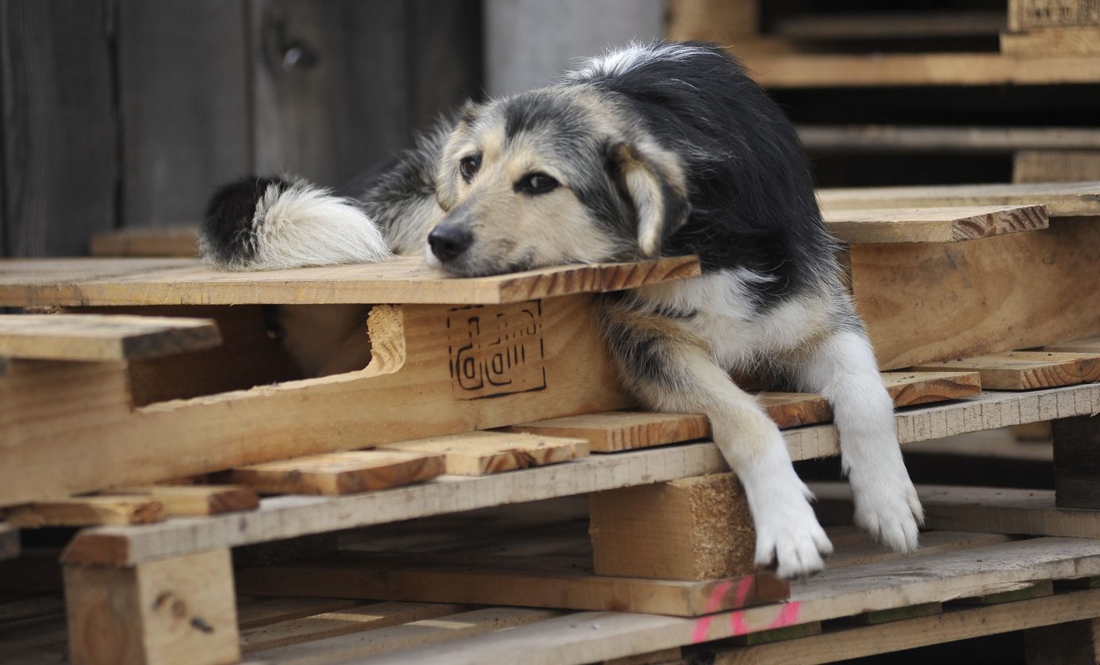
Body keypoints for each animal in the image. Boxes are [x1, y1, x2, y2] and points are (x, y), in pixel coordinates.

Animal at [202, 40, 924, 575]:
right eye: (471, 166)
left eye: (539, 182)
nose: (444, 242)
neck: (701, 231)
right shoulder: (649, 345)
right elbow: (749, 421)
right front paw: (790, 524)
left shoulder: (819, 314)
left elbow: (869, 395)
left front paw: (888, 500)